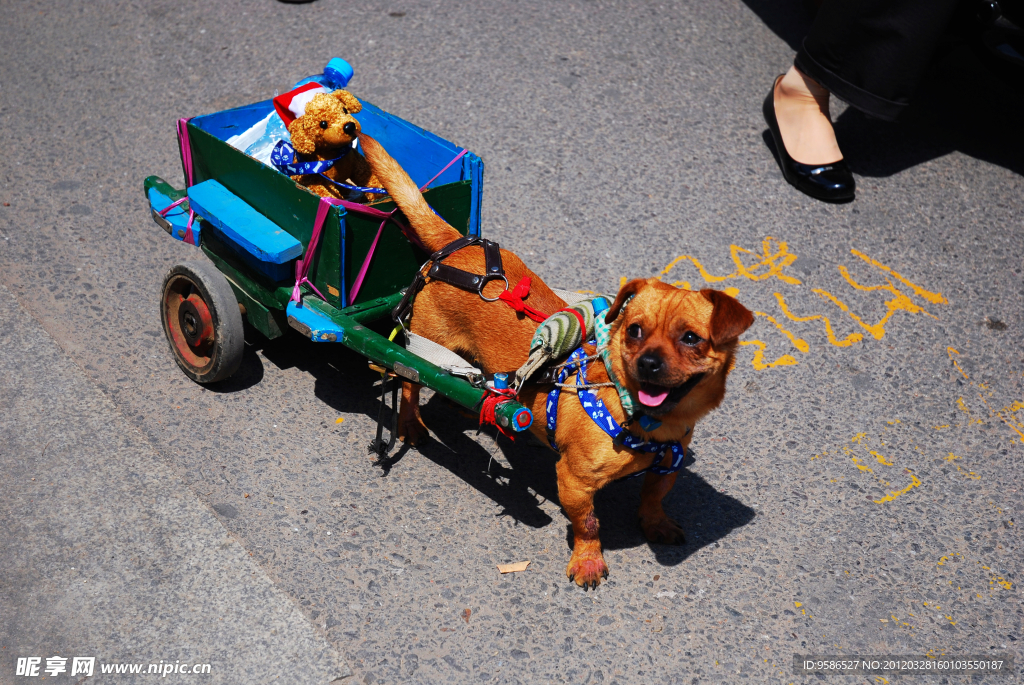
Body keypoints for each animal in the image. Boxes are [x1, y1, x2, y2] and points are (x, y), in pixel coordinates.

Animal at [358, 133, 753, 589]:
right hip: (422, 344)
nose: (649, 364)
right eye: (634, 330)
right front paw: (588, 561)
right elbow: (589, 523)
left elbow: (653, 498)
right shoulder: (574, 482)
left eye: (691, 339)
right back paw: (412, 423)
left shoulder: (666, 468)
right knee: (407, 380)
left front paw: (655, 523)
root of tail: (456, 246)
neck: (644, 419)